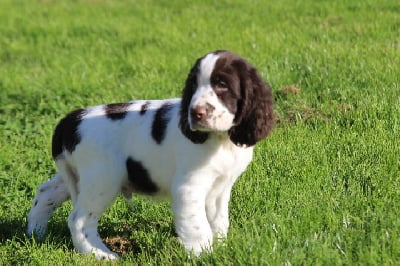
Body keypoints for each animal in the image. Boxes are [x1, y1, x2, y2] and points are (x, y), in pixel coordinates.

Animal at [26, 50, 274, 260]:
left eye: (222, 85)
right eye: (193, 86)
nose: (195, 113)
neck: (220, 140)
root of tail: (71, 120)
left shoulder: (220, 187)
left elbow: (219, 222)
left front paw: (222, 250)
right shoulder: (189, 187)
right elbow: (198, 227)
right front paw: (204, 256)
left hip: (78, 176)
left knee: (46, 191)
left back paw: (35, 233)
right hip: (102, 180)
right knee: (78, 220)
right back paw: (101, 255)